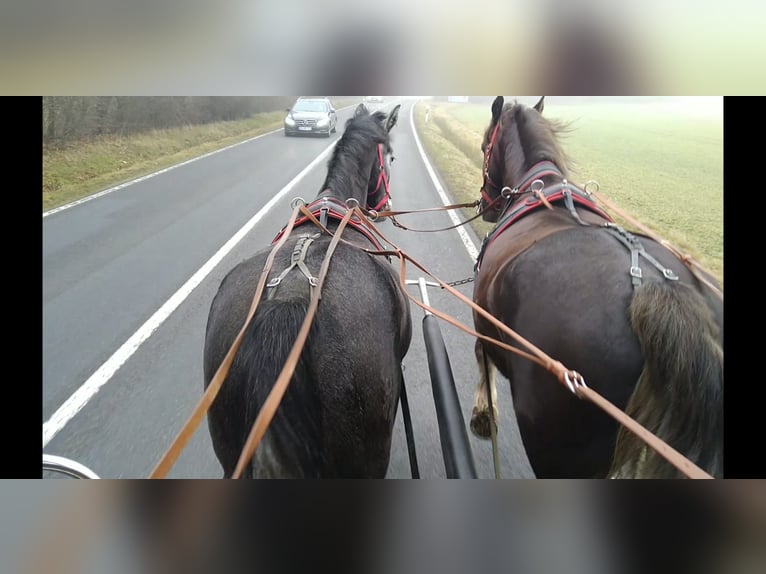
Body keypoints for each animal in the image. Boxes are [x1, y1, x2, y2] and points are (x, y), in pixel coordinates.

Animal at [468, 97, 728, 480]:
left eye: (486, 144)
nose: (486, 205)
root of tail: (658, 291)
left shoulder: (482, 319)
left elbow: (479, 354)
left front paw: (484, 415)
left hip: (556, 444)